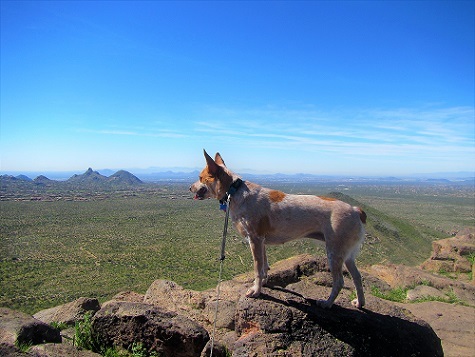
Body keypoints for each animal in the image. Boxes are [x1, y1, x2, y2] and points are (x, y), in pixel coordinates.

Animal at [191, 149, 368, 308]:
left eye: (200, 178)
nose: (190, 188)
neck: (234, 191)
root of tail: (355, 210)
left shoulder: (255, 239)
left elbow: (257, 268)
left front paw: (255, 291)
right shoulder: (261, 241)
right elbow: (264, 267)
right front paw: (263, 282)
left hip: (334, 252)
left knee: (339, 281)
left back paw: (327, 303)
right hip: (348, 255)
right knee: (358, 278)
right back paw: (359, 303)